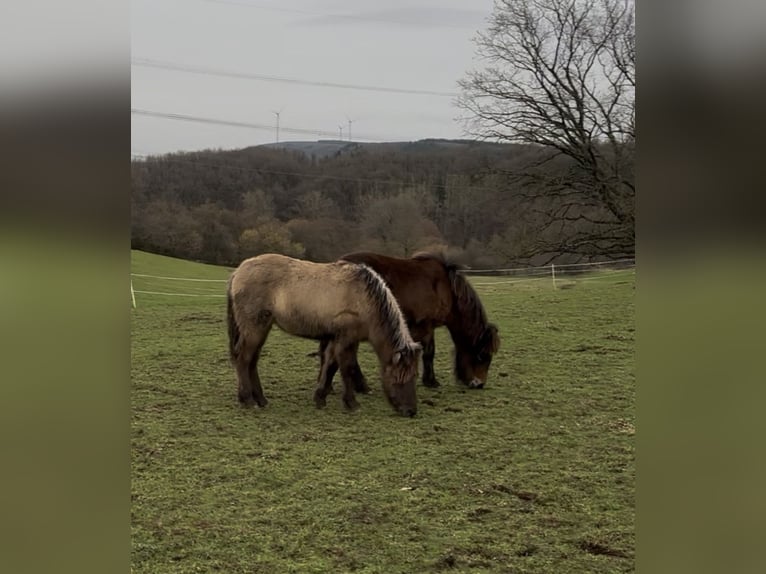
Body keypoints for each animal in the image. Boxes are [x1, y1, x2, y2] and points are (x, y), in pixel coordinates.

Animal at [226, 253, 422, 416]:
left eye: (414, 376)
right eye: (399, 377)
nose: (410, 411)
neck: (364, 298)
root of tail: (238, 271)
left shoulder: (338, 339)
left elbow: (331, 365)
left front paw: (320, 397)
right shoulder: (347, 339)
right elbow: (347, 367)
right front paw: (351, 403)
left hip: (262, 328)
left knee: (252, 361)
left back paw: (260, 399)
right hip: (254, 329)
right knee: (243, 359)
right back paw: (248, 399)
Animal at [317, 251, 500, 392]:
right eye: (483, 355)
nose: (479, 384)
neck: (444, 287)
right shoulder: (427, 325)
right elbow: (429, 352)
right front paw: (431, 381)